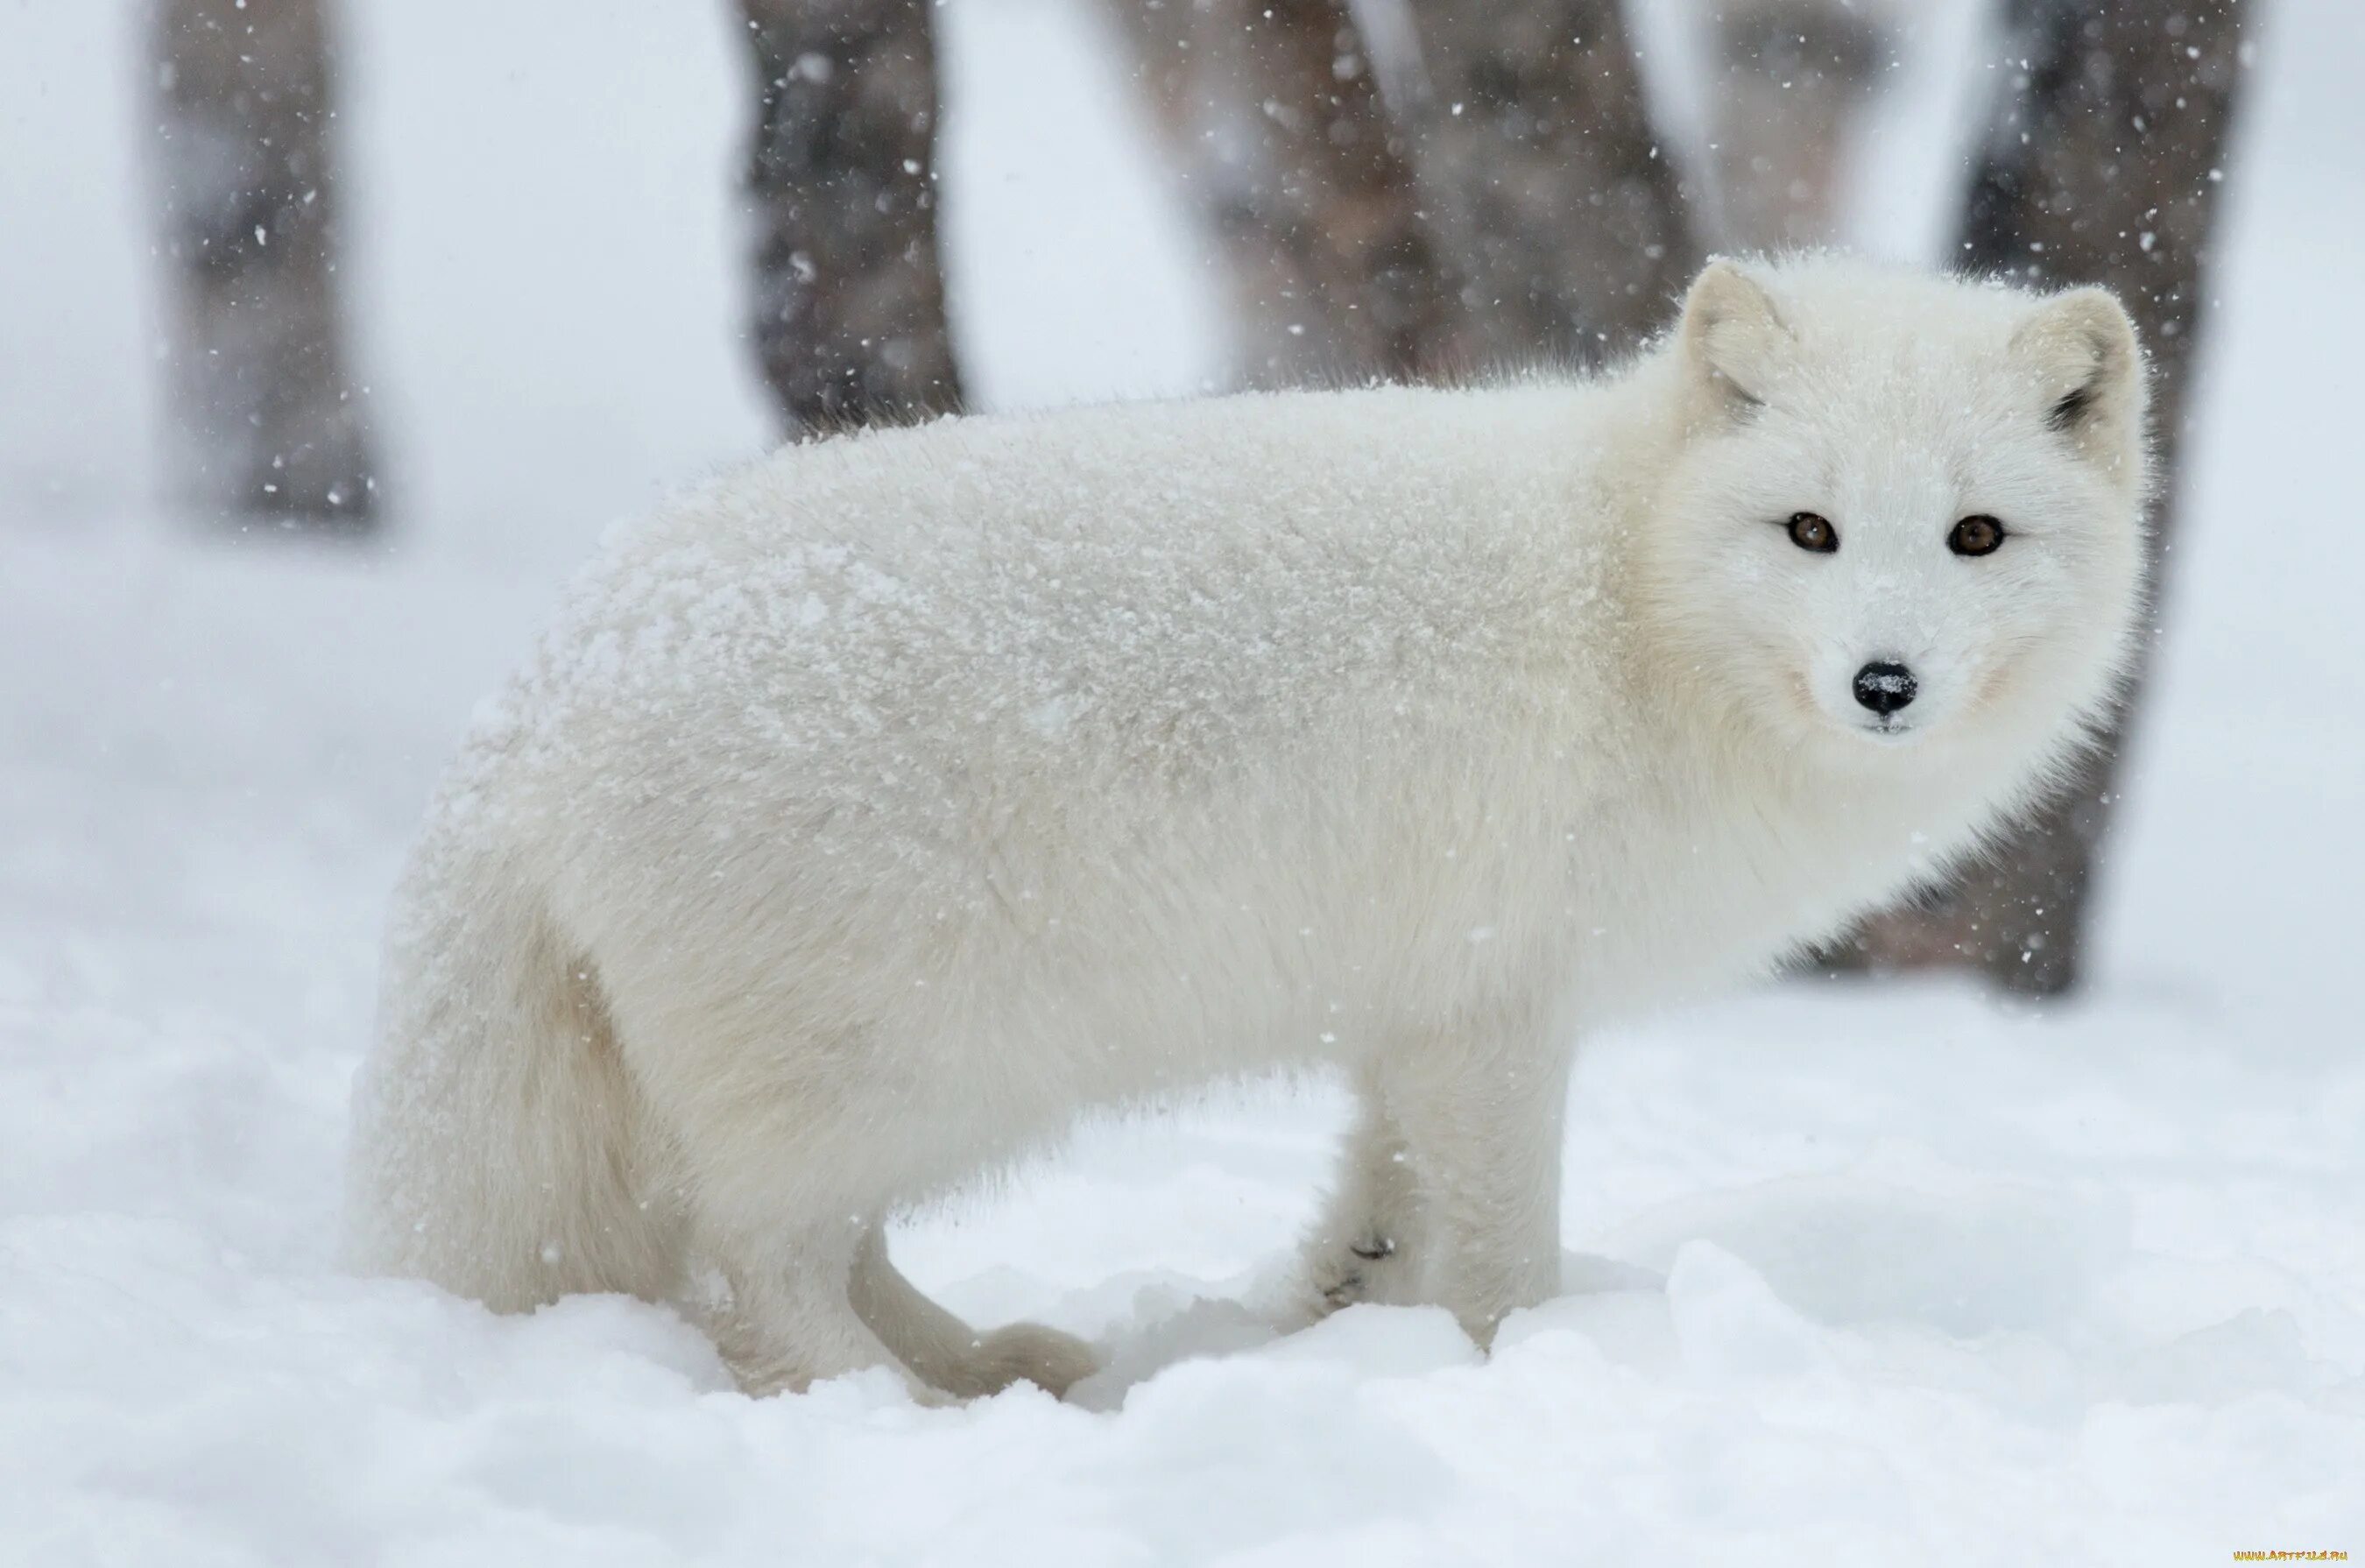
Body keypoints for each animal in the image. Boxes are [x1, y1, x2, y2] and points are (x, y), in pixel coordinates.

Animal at [355, 258, 2166, 1400]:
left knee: (811, 1256)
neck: (1631, 595)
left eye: (1976, 536)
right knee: (753, 1270)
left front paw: (1338, 1330)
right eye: (1810, 530)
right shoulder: (1501, 1013)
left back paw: (996, 1366)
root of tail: (548, 692)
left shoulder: (1416, 1015)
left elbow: (1379, 1213)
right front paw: (1518, 1373)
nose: (1884, 682)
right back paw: (908, 1413)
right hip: (910, 1063)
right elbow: (1501, 1254)